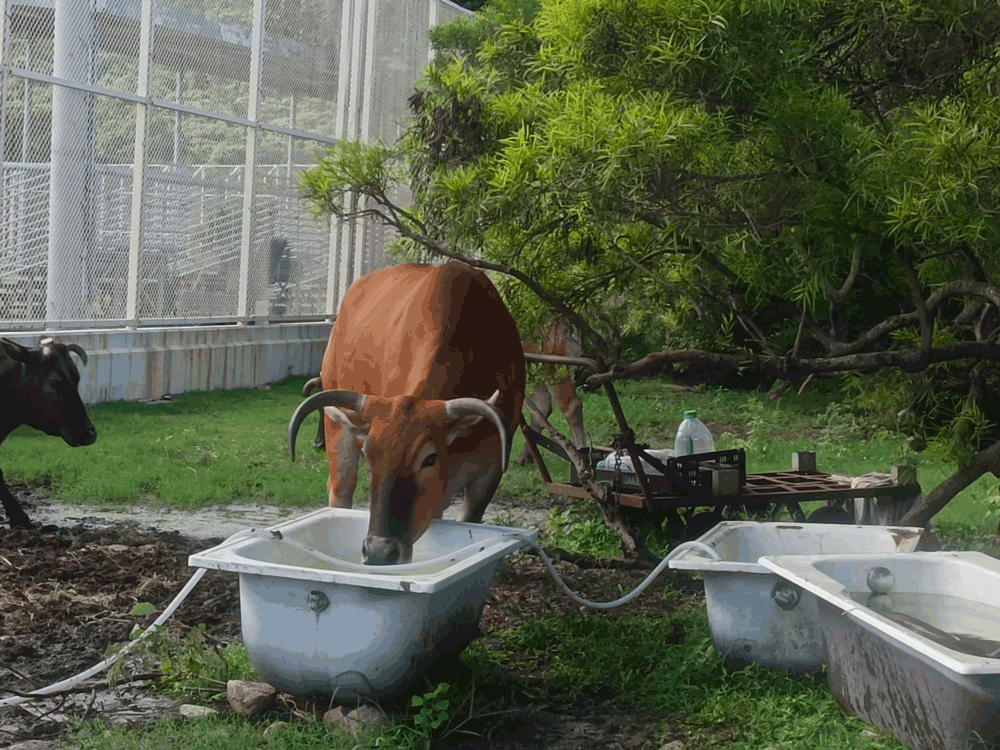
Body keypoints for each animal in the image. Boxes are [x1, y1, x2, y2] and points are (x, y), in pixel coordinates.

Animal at [288, 264, 524, 564]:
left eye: (430, 458)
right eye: (368, 455)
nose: (379, 552)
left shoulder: (488, 474)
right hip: (337, 433)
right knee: (340, 491)